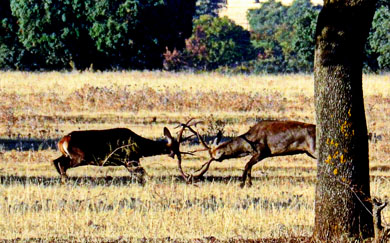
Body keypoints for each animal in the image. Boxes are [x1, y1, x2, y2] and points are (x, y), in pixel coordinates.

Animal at [52, 120, 193, 183]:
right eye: (175, 148)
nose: (177, 155)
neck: (140, 146)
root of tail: (62, 141)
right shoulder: (130, 159)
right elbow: (143, 173)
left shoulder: (128, 162)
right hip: (79, 157)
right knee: (61, 164)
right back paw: (66, 180)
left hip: (69, 155)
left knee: (55, 161)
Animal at [183, 120, 316, 187]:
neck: (249, 143)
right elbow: (250, 166)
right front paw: (249, 183)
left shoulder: (263, 151)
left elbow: (247, 165)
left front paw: (242, 183)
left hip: (313, 149)